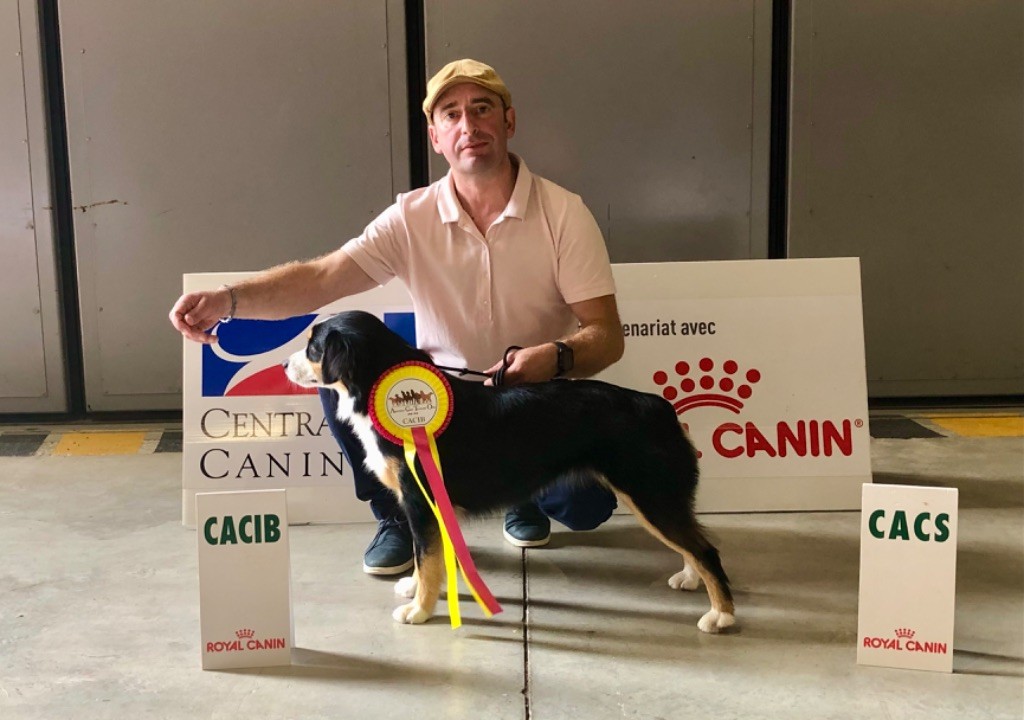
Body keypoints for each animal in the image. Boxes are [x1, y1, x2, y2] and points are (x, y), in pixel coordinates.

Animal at [285, 310, 735, 634]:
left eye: (313, 348)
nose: (286, 366)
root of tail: (659, 406)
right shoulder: (426, 505)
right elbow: (427, 554)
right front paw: (417, 589)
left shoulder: (420, 498)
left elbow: (426, 555)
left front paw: (420, 609)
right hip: (657, 497)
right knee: (693, 543)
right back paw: (689, 578)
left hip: (649, 495)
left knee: (706, 549)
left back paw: (721, 615)